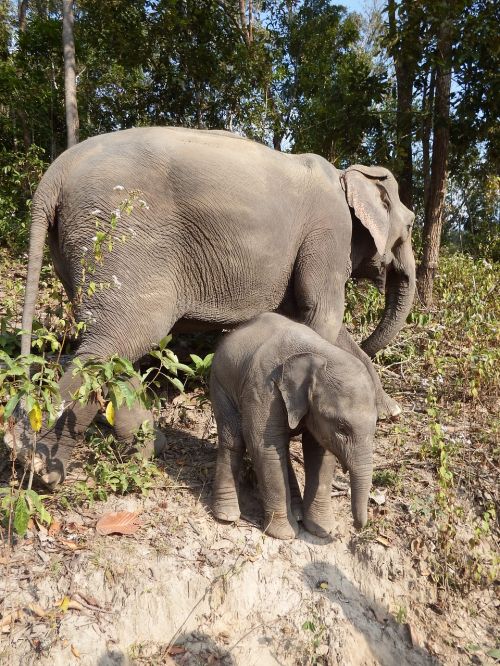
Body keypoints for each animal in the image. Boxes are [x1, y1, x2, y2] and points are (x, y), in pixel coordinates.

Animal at [12, 127, 418, 486]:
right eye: (413, 225)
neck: (345, 174)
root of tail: (57, 172)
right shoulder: (327, 230)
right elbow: (322, 317)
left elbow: (313, 320)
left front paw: (388, 410)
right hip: (117, 236)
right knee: (120, 340)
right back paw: (39, 466)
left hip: (77, 251)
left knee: (114, 343)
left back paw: (145, 449)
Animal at [209, 312, 376, 540]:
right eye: (342, 428)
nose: (358, 527)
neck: (318, 355)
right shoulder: (263, 388)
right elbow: (264, 447)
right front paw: (285, 534)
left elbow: (319, 453)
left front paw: (321, 530)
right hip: (221, 384)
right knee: (234, 440)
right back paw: (226, 516)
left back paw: (296, 513)